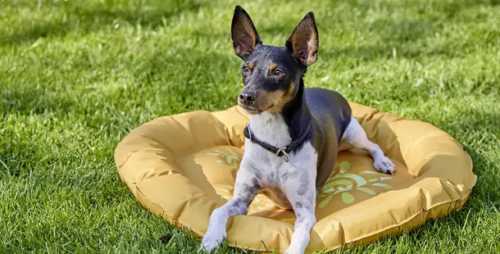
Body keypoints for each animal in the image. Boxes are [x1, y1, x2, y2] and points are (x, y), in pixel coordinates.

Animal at [199, 5, 394, 254]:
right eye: (245, 68)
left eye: (278, 72)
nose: (245, 97)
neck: (274, 142)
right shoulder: (242, 197)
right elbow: (218, 211)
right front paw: (211, 240)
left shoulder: (304, 211)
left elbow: (299, 237)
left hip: (354, 133)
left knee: (373, 145)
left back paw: (383, 162)